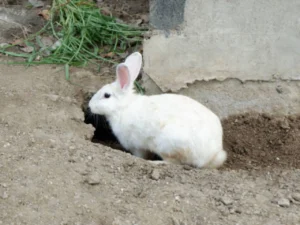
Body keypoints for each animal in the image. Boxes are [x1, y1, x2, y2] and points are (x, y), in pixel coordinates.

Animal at [89, 51, 227, 168]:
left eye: (106, 95)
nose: (90, 106)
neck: (124, 107)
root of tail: (212, 156)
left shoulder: (136, 146)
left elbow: (140, 155)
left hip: (168, 144)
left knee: (174, 163)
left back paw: (156, 163)